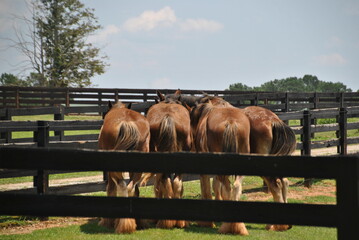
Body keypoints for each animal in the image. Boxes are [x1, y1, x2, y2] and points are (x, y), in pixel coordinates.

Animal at [97, 101, 150, 234]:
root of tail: (127, 122)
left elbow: (110, 189)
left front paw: (107, 222)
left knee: (122, 186)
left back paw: (124, 224)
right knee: (131, 187)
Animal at [190, 98, 252, 235]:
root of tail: (231, 122)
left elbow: (207, 188)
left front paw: (206, 223)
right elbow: (217, 186)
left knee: (227, 187)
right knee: (235, 187)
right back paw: (237, 227)